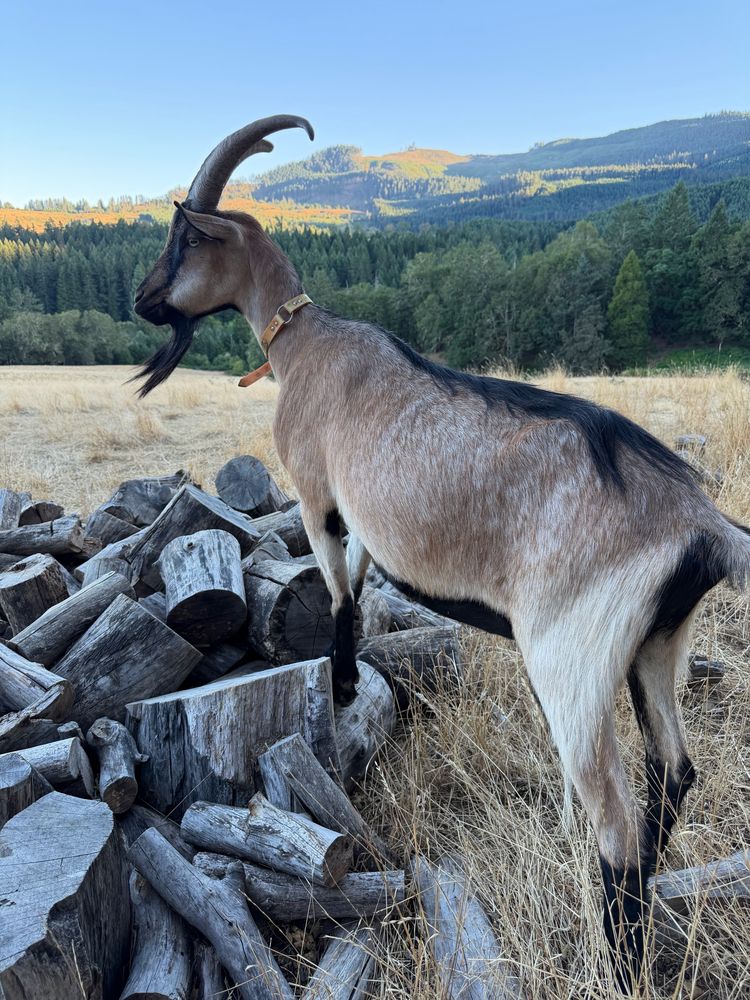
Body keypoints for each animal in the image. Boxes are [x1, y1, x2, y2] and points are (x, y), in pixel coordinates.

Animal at [133, 114, 750, 990]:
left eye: (183, 237)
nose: (142, 300)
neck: (306, 344)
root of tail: (704, 526)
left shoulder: (317, 493)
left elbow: (339, 590)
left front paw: (342, 684)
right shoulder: (365, 518)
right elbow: (358, 582)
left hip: (571, 658)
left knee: (617, 823)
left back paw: (617, 963)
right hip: (657, 646)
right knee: (675, 771)